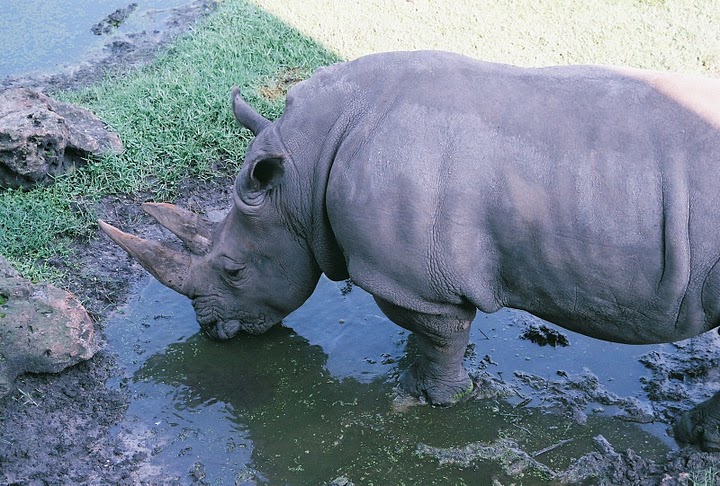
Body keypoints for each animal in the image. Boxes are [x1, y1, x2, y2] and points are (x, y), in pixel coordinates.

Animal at [99, 50, 720, 451]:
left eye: (232, 270)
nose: (210, 331)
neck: (303, 168)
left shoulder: (418, 283)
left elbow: (438, 336)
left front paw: (430, 400)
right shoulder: (415, 276)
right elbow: (425, 335)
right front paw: (415, 375)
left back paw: (692, 437)